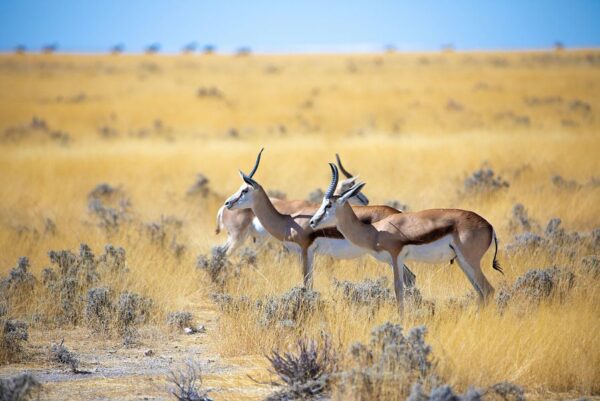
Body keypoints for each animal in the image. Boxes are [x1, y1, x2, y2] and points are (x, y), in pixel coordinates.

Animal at [221, 150, 418, 288]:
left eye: (244, 190)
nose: (228, 202)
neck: (288, 221)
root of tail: (398, 212)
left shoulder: (305, 250)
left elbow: (307, 282)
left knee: (409, 278)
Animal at [310, 162, 502, 312]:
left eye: (328, 205)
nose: (312, 221)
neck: (375, 231)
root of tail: (489, 226)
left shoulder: (396, 257)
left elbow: (398, 289)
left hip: (470, 262)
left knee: (488, 290)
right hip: (463, 262)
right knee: (481, 292)